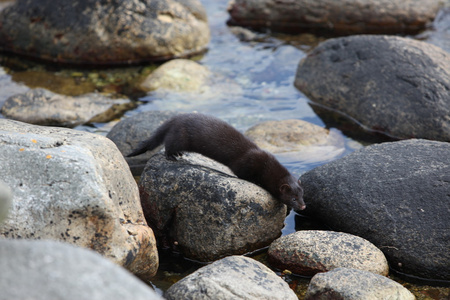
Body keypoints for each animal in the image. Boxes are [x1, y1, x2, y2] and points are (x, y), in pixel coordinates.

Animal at [127, 113, 306, 211]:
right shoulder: (246, 163)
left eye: (302, 195)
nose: (304, 206)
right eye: (293, 198)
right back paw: (173, 155)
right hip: (179, 136)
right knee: (167, 144)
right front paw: (257, 182)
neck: (266, 165)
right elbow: (243, 174)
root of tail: (176, 118)